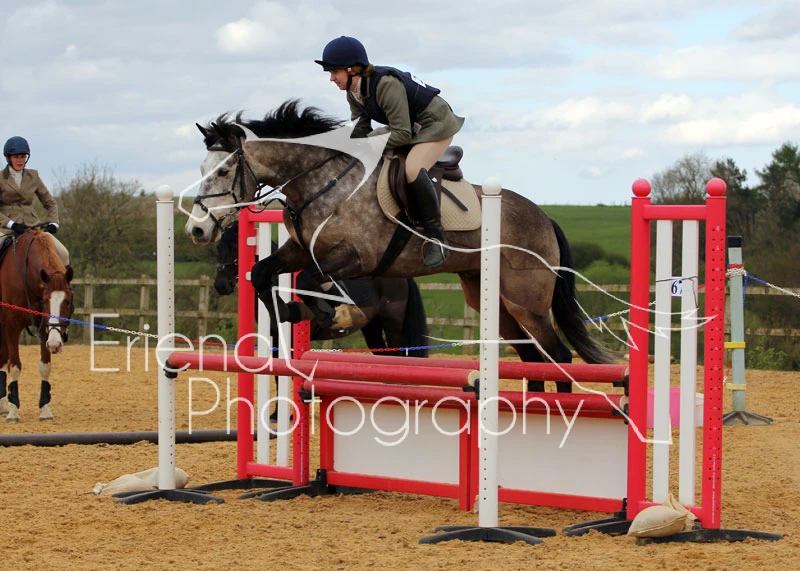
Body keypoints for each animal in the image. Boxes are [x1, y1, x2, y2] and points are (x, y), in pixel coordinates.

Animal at [0, 229, 74, 422]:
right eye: (45, 300)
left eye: (67, 301)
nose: (56, 344)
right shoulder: (11, 325)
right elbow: (15, 366)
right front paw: (13, 412)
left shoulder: (43, 329)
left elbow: (45, 367)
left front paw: (45, 410)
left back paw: (2, 405)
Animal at [214, 219, 429, 357]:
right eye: (218, 248)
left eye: (235, 247)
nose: (221, 285)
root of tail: (402, 278)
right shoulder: (275, 340)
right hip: (371, 327)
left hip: (392, 325)